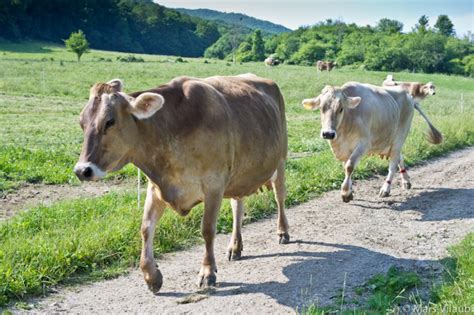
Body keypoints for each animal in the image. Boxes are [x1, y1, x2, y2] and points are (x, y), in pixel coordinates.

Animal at [73, 74, 288, 294]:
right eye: (82, 123)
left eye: (109, 121)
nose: (82, 170)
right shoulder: (156, 187)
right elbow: (146, 228)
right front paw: (151, 276)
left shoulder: (214, 184)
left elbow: (207, 229)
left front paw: (207, 272)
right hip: (239, 174)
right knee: (238, 205)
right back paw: (235, 246)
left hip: (280, 158)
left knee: (279, 196)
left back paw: (283, 232)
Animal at [302, 82, 442, 202]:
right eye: (321, 108)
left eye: (341, 109)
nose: (328, 133)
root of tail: (409, 96)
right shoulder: (345, 149)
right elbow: (346, 167)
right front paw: (350, 190)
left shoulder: (364, 144)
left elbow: (349, 166)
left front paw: (346, 193)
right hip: (391, 139)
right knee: (399, 157)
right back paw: (406, 181)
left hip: (401, 135)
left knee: (393, 164)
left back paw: (386, 189)